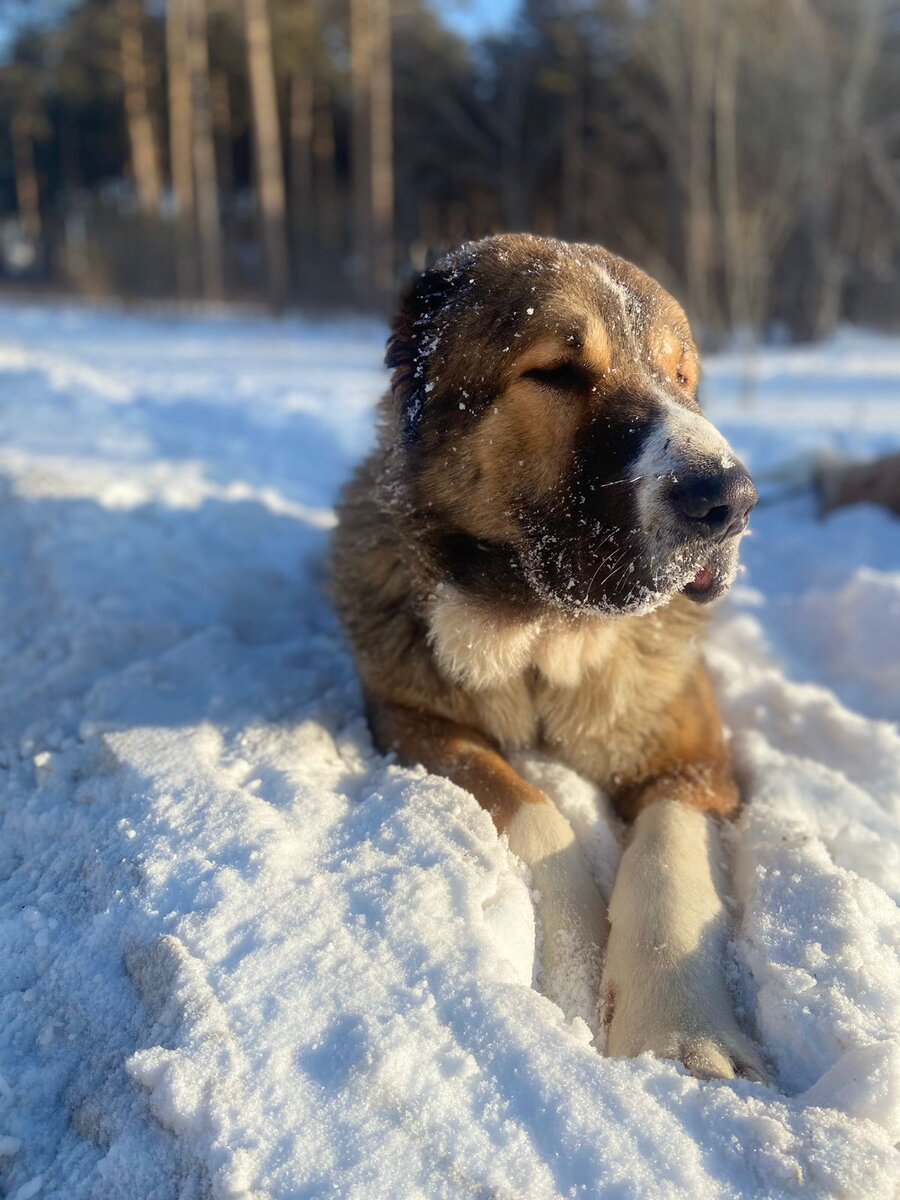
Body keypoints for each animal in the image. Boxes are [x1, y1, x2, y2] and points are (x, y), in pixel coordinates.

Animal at [331, 231, 768, 1080]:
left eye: (682, 377)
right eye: (557, 373)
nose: (729, 500)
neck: (544, 635)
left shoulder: (694, 755)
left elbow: (666, 851)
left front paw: (682, 1029)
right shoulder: (411, 720)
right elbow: (534, 808)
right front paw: (573, 963)